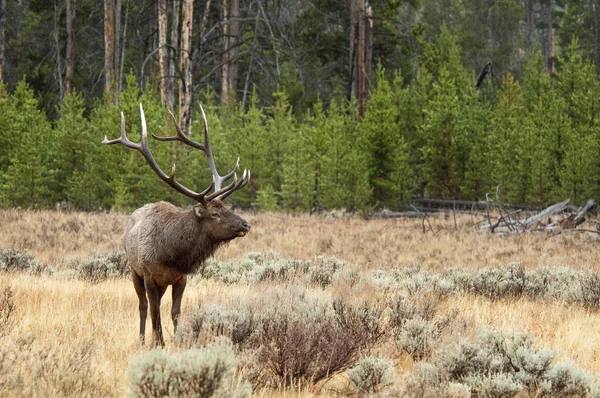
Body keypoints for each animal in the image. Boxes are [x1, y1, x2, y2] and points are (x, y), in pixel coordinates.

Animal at [103, 105, 251, 346]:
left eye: (226, 206)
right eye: (215, 213)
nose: (246, 224)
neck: (172, 253)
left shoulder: (180, 279)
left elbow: (175, 313)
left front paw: (177, 341)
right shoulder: (149, 276)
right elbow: (155, 312)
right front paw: (160, 344)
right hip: (134, 271)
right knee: (143, 306)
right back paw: (143, 339)